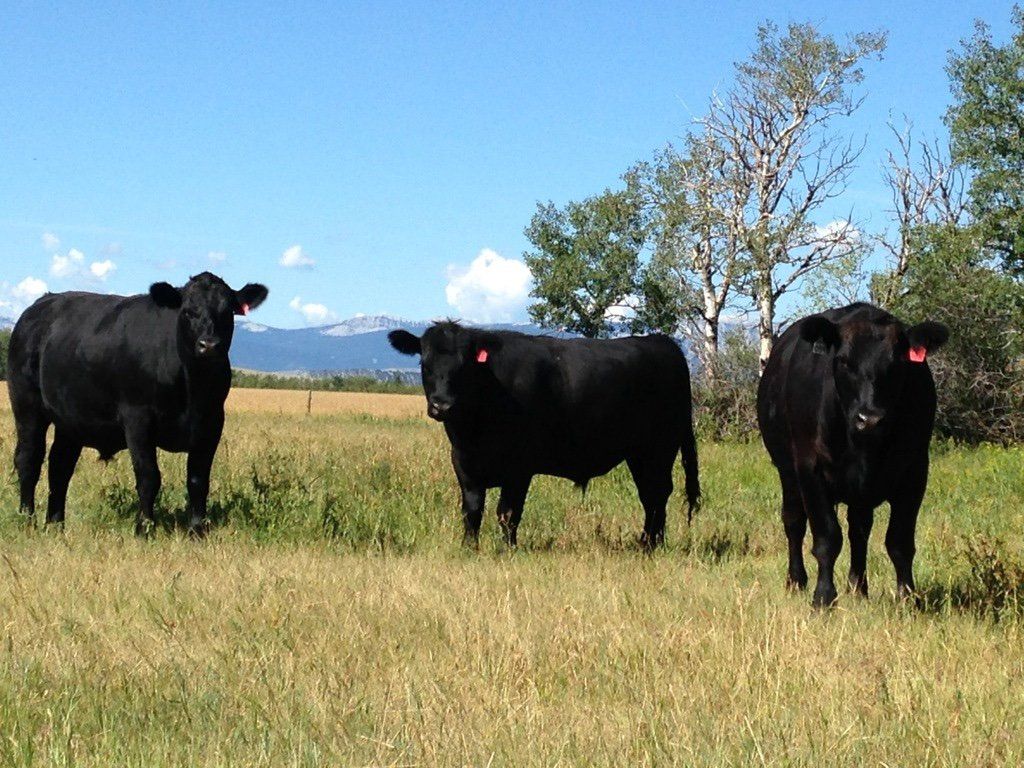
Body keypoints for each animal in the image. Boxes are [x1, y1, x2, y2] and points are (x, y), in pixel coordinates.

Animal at [8, 272, 268, 535]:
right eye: (187, 311)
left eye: (227, 311)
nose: (209, 345)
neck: (191, 386)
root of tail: (39, 305)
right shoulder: (137, 419)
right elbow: (148, 477)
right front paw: (144, 527)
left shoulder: (211, 422)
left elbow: (198, 479)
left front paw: (197, 529)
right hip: (26, 405)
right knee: (29, 459)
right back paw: (27, 519)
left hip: (70, 420)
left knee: (60, 466)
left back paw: (55, 524)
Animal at [388, 322, 700, 548]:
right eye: (425, 365)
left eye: (464, 367)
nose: (442, 405)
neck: (472, 431)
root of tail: (662, 342)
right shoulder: (464, 465)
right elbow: (472, 511)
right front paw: (469, 549)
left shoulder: (519, 467)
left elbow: (508, 513)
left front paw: (508, 550)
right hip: (639, 454)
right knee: (650, 495)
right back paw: (648, 543)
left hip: (659, 449)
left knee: (657, 493)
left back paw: (651, 545)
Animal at [757, 303, 948, 607]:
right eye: (844, 361)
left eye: (898, 363)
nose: (869, 419)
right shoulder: (810, 470)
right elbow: (827, 538)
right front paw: (823, 597)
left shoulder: (915, 471)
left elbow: (900, 541)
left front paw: (908, 597)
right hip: (787, 471)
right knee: (794, 522)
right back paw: (796, 581)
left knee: (859, 529)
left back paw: (858, 588)